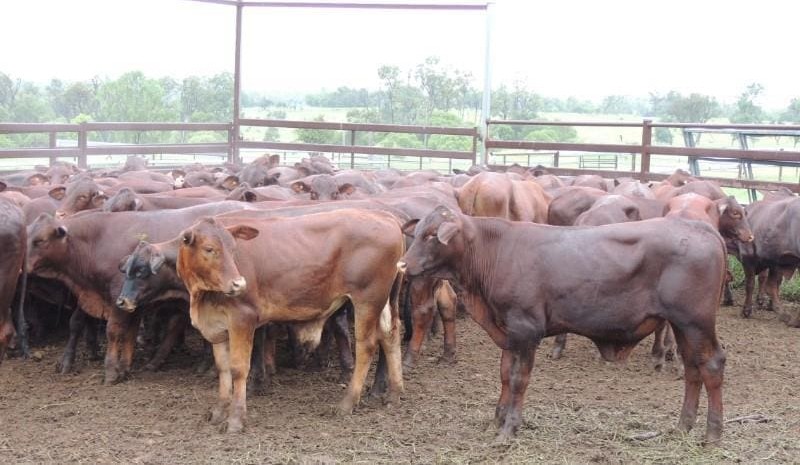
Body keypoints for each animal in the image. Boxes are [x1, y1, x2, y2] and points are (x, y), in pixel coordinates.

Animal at [156, 209, 404, 432]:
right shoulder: (217, 326)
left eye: (234, 249)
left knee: (366, 346)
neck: (202, 297)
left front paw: (236, 419)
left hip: (368, 299)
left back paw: (348, 402)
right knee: (390, 336)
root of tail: (384, 216)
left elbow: (238, 369)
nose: (239, 284)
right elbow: (223, 368)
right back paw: (394, 394)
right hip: (383, 301)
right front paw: (219, 411)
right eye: (209, 249)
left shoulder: (242, 318)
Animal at [398, 206, 727, 444]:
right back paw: (683, 427)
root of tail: (702, 228)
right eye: (417, 232)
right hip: (683, 326)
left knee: (711, 365)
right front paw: (498, 418)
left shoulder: (526, 329)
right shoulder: (508, 330)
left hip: (695, 322)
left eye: (432, 235)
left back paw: (712, 434)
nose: (402, 264)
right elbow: (504, 374)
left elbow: (518, 379)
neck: (495, 252)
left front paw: (509, 428)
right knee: (692, 368)